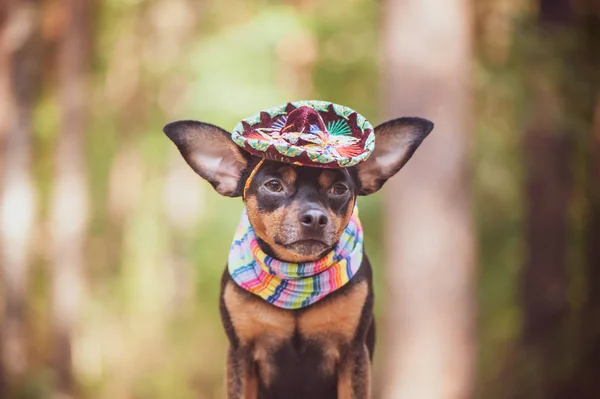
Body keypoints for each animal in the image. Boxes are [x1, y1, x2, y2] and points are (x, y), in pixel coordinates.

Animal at [165, 104, 432, 399]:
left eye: (339, 189)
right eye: (273, 185)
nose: (315, 217)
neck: (296, 275)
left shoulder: (353, 355)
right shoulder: (240, 354)